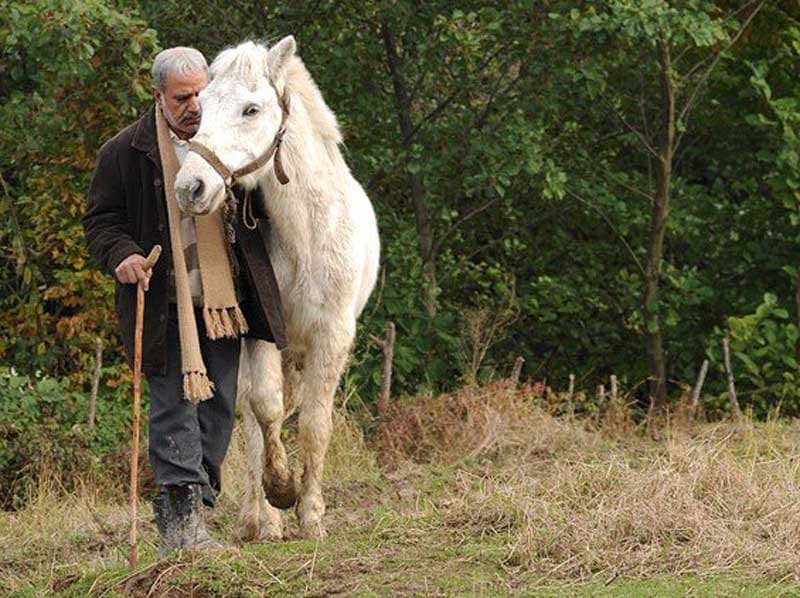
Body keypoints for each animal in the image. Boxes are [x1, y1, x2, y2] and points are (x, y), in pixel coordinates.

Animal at [174, 35, 380, 540]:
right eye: (201, 105)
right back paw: (259, 518)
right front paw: (280, 493)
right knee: (252, 417)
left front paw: (311, 515)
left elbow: (314, 425)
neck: (307, 234)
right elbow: (266, 409)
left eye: (251, 109)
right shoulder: (263, 332)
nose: (190, 186)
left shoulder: (331, 338)